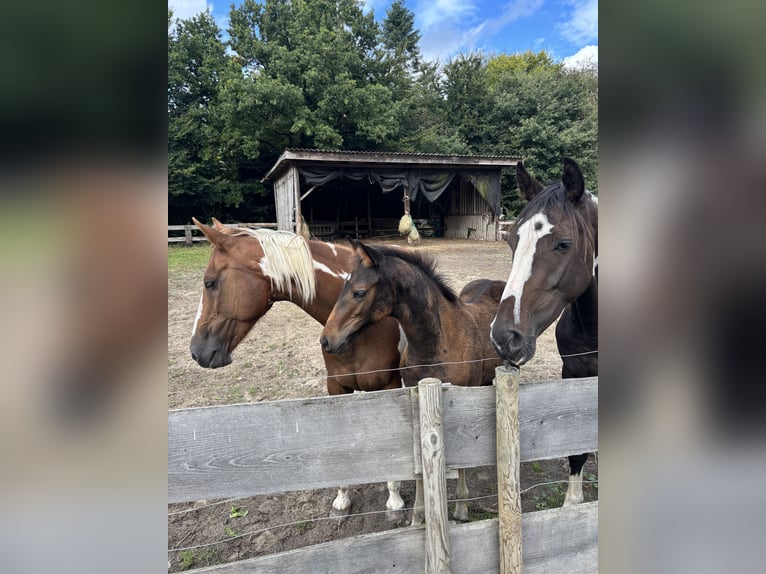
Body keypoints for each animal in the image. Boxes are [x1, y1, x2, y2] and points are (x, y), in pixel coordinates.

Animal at [188, 218, 405, 519]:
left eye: (210, 282)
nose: (196, 351)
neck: (363, 331)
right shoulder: (336, 387)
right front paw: (342, 500)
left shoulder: (388, 386)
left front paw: (395, 500)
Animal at [320, 240, 505, 523]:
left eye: (359, 292)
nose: (326, 340)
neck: (437, 344)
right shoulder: (414, 397)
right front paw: (418, 515)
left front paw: (461, 508)